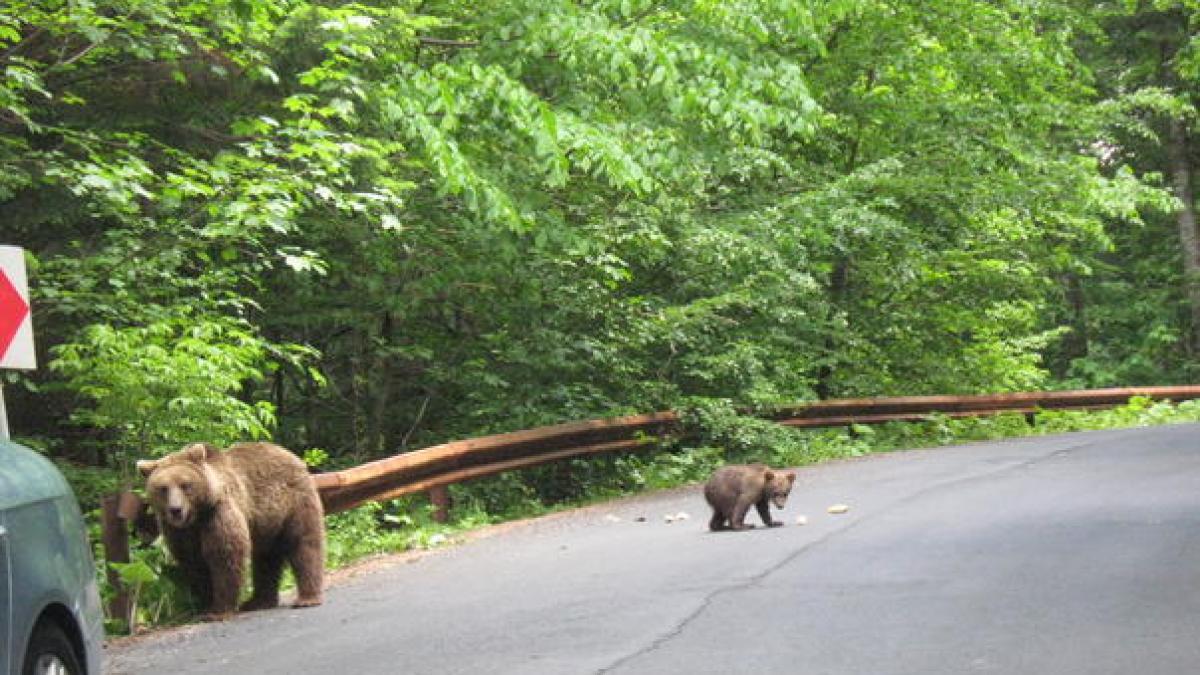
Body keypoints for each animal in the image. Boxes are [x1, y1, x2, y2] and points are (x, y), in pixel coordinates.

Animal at [138, 439, 326, 619]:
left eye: (185, 485)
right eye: (163, 488)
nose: (176, 509)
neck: (197, 517)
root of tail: (288, 453)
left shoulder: (218, 514)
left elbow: (225, 556)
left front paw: (218, 610)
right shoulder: (179, 532)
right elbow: (194, 563)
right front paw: (204, 603)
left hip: (294, 502)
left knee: (304, 544)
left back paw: (307, 598)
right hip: (267, 525)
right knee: (266, 559)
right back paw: (258, 601)